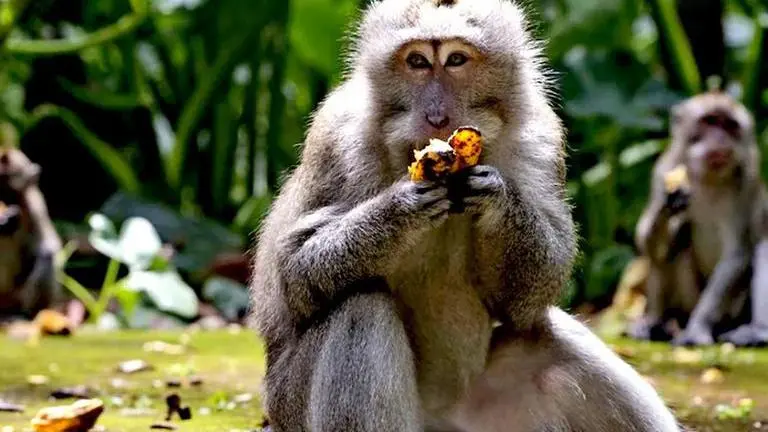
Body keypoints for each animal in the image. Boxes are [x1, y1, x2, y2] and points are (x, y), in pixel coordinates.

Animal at [249, 1, 680, 431]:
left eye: (456, 60)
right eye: (418, 62)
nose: (437, 117)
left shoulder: (540, 137)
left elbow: (528, 298)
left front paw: (497, 198)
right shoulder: (337, 138)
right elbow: (293, 273)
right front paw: (400, 209)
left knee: (551, 335)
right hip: (291, 403)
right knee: (360, 307)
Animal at [633, 91, 768, 347]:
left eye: (729, 125)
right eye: (709, 122)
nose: (720, 139)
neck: (708, 177)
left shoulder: (747, 179)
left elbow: (736, 254)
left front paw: (696, 329)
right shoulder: (663, 168)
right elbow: (646, 241)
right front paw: (668, 202)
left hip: (733, 311)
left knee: (762, 247)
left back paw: (756, 330)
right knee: (674, 244)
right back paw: (655, 324)